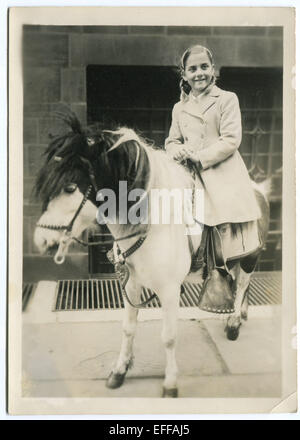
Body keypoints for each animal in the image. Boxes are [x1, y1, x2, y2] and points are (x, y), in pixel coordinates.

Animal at [32, 111, 270, 398]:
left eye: (69, 187)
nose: (41, 240)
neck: (152, 221)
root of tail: (258, 190)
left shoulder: (169, 290)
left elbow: (168, 337)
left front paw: (170, 383)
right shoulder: (131, 284)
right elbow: (128, 328)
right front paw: (119, 371)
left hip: (249, 258)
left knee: (244, 283)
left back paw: (234, 323)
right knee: (241, 286)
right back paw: (241, 316)